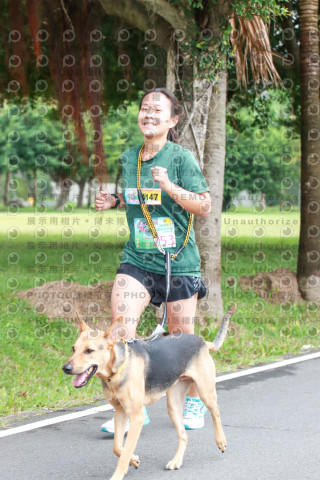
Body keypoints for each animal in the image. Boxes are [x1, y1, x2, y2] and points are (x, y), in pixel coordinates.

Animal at [62, 304, 235, 480]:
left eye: (89, 351)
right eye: (73, 348)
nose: (65, 368)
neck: (118, 369)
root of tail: (202, 341)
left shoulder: (136, 417)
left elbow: (124, 453)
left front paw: (119, 474)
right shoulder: (120, 412)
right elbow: (117, 447)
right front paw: (133, 460)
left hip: (205, 392)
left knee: (216, 411)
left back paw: (220, 440)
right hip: (173, 405)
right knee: (183, 435)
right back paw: (176, 461)